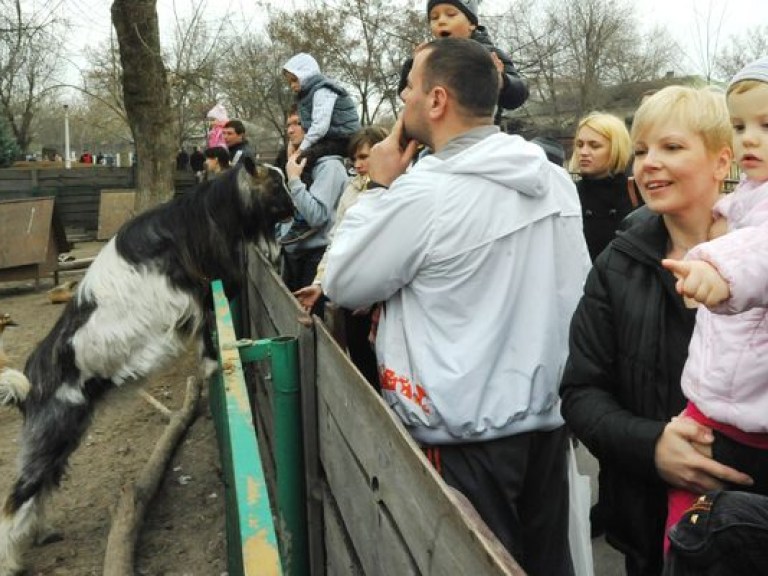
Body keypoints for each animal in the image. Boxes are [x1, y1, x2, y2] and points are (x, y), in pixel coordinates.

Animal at [0, 160, 292, 572]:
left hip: (64, 436)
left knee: (39, 490)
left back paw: (40, 535)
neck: (199, 215)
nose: (295, 210)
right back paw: (9, 561)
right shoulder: (199, 292)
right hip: (51, 434)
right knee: (19, 496)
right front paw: (212, 365)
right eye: (276, 186)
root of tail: (27, 387)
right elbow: (206, 332)